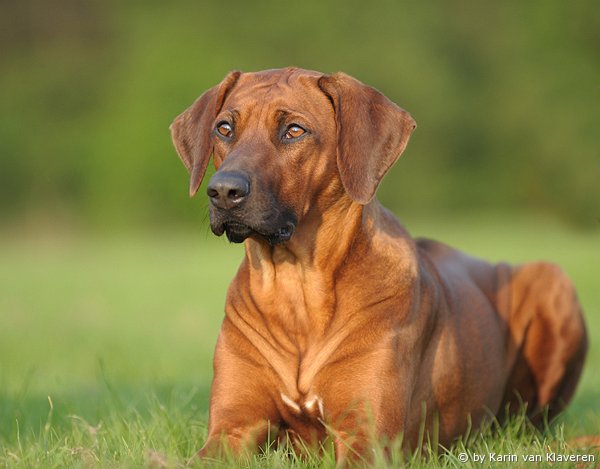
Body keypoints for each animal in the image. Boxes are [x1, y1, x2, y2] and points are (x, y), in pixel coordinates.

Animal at [171, 67, 588, 462]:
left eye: (294, 130)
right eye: (224, 128)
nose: (223, 190)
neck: (295, 286)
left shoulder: (367, 436)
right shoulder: (231, 428)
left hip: (551, 280)